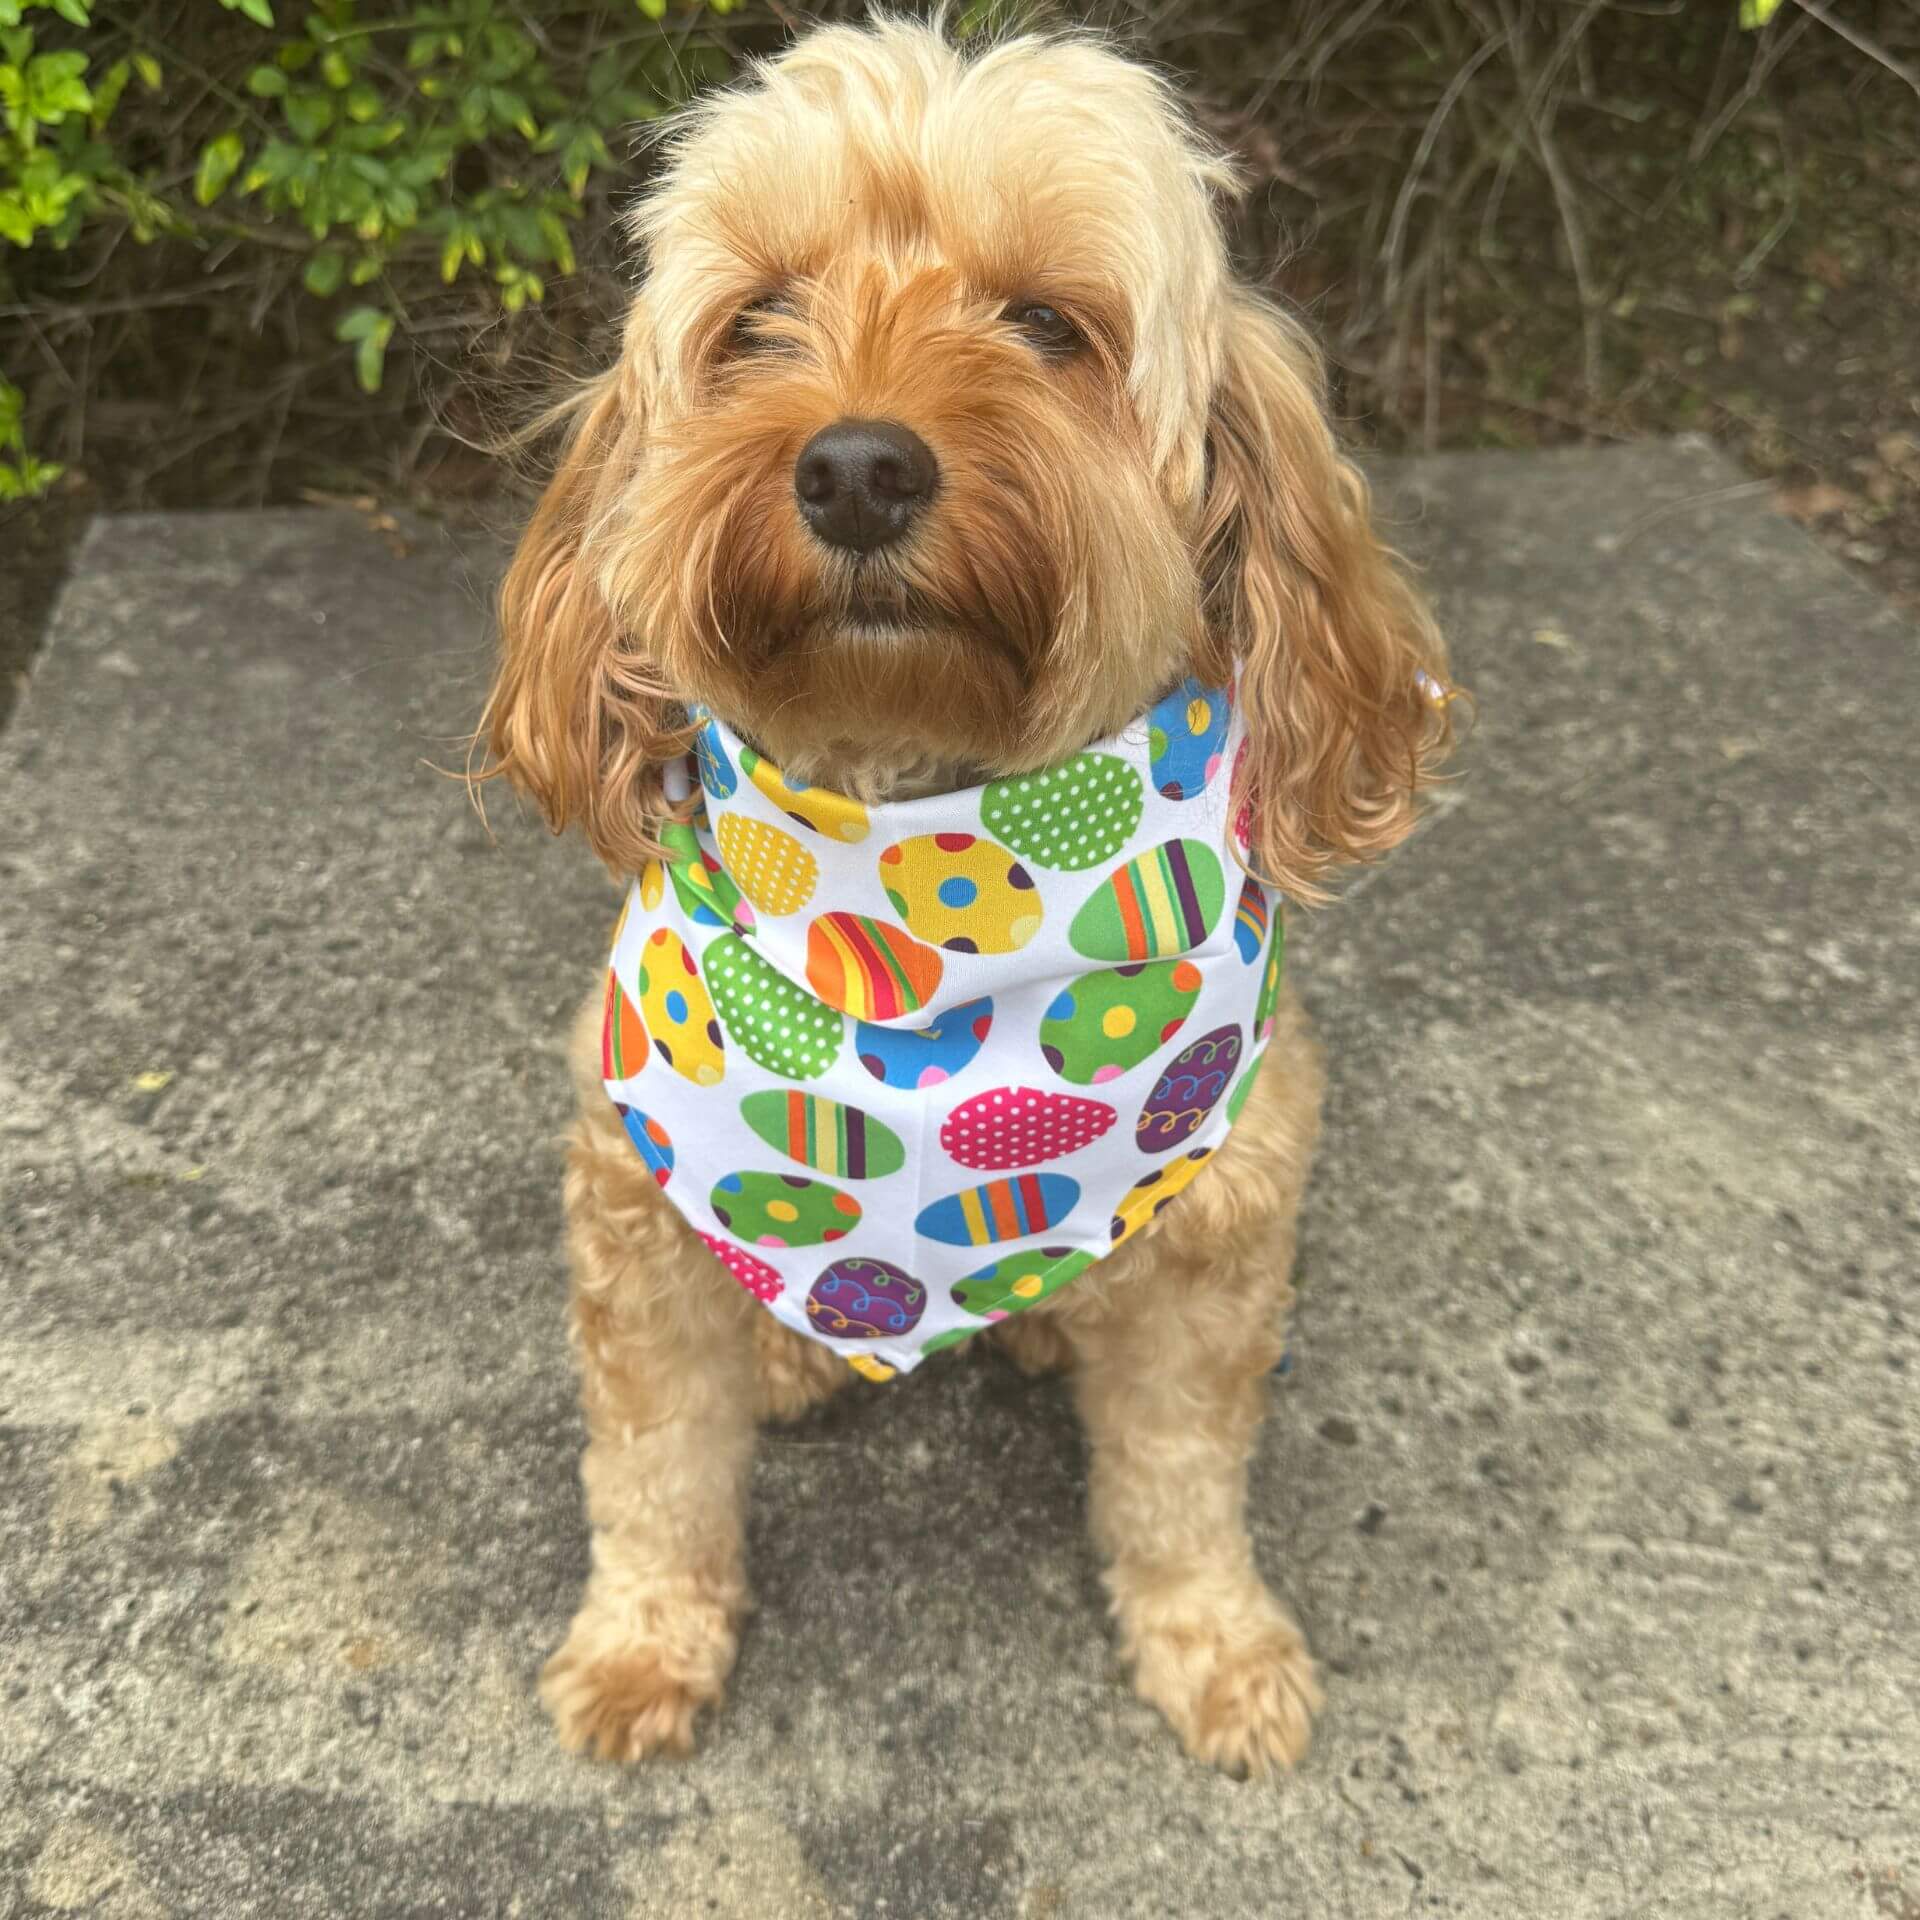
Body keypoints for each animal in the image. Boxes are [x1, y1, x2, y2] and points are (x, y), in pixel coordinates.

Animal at [476, 18, 1443, 1781]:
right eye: (759, 322)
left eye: (1049, 324)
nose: (858, 466)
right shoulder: (630, 1210)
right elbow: (653, 1471)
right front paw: (642, 1646)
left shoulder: (1227, 1237)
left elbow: (1182, 1479)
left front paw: (1215, 1647)